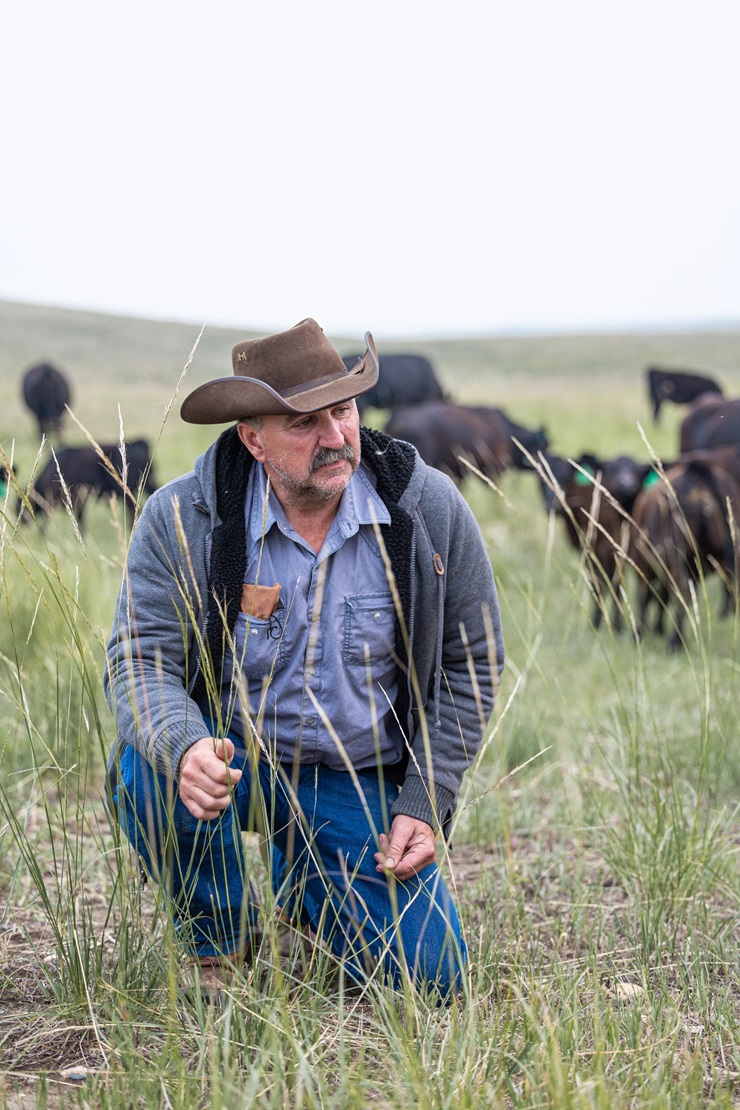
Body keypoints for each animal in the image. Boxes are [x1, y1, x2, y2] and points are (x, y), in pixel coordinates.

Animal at [630, 446, 740, 648]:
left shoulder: (642, 562)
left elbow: (644, 597)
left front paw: (639, 634)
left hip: (673, 557)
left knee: (680, 594)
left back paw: (675, 641)